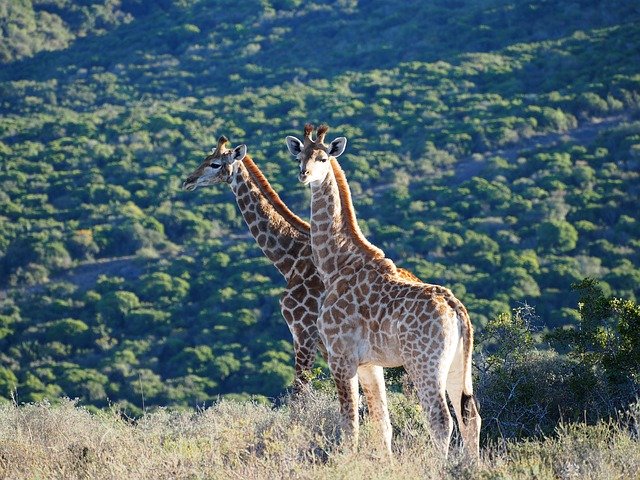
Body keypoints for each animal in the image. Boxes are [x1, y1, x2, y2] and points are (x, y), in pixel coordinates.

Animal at [180, 136, 420, 454]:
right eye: (205, 158)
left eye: (215, 163)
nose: (188, 181)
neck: (288, 258)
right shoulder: (326, 346)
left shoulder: (303, 331)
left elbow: (300, 396)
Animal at [284, 124, 480, 458]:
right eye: (299, 155)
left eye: (323, 158)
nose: (304, 174)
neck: (336, 263)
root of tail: (457, 310)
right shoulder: (370, 364)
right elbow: (382, 424)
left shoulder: (340, 356)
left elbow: (350, 423)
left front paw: (347, 463)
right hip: (458, 365)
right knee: (471, 416)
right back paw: (472, 466)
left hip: (425, 364)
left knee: (441, 420)